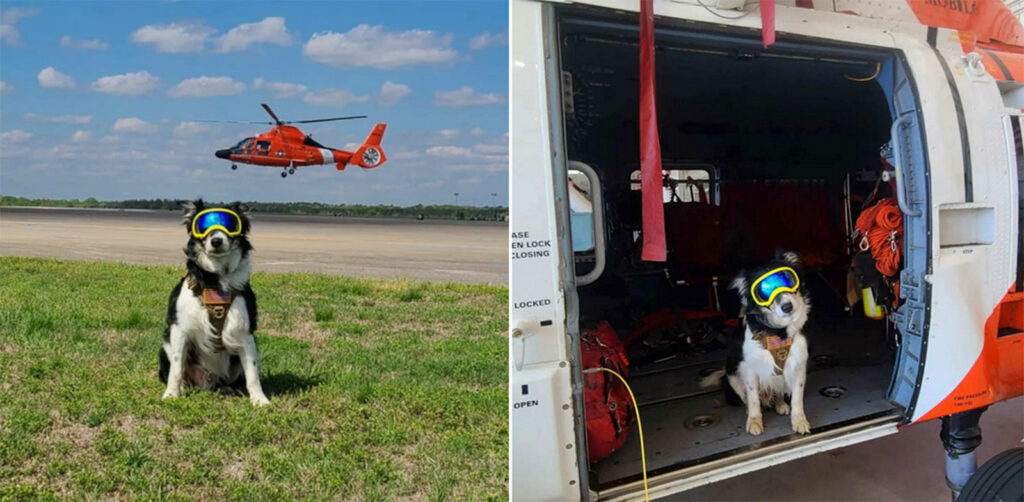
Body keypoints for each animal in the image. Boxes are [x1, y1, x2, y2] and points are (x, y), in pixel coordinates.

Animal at [157, 197, 270, 405]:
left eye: (230, 224)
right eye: (203, 226)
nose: (216, 241)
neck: (215, 279)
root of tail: (210, 381)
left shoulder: (245, 333)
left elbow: (252, 373)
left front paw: (259, 399)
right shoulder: (179, 329)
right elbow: (176, 368)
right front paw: (171, 394)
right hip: (165, 347)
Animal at [700, 250, 811, 434]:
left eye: (787, 279)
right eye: (764, 290)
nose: (787, 307)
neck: (777, 332)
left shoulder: (798, 363)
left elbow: (797, 397)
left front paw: (799, 421)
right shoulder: (750, 368)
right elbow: (753, 399)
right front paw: (754, 421)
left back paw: (780, 404)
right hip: (733, 376)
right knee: (749, 397)